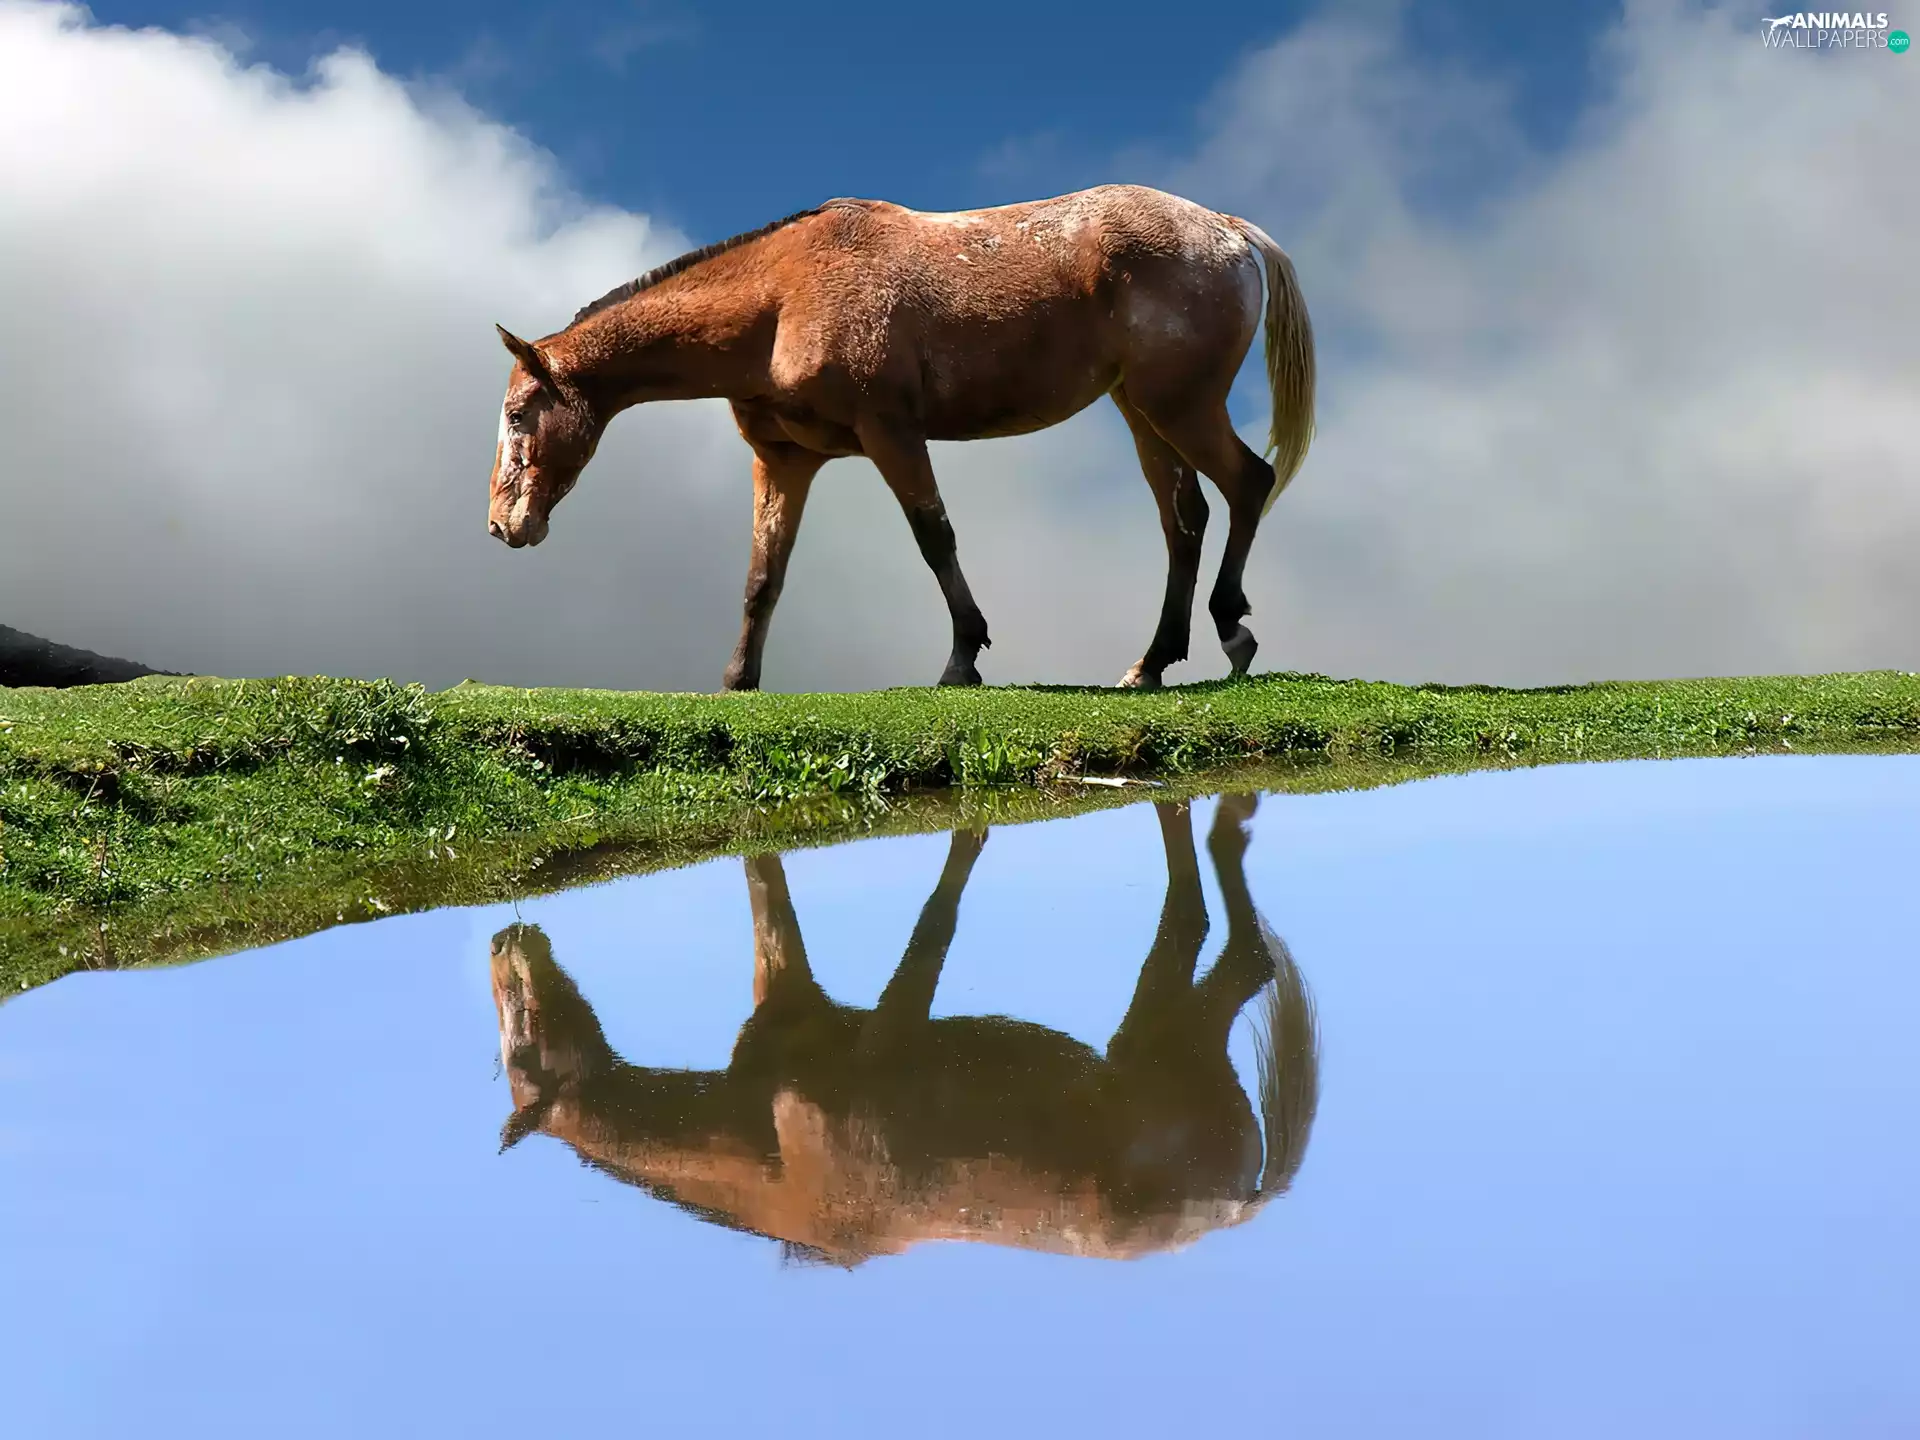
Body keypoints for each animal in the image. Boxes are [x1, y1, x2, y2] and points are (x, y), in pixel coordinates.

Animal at [486, 184, 1316, 691]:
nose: (501, 525)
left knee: (1247, 484)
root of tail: (1227, 231)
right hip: (1144, 414)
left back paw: (1231, 630)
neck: (780, 297)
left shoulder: (891, 433)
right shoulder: (783, 462)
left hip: (1178, 408)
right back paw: (1152, 663)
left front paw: (962, 659)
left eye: (520, 413)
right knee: (1186, 521)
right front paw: (738, 683)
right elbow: (763, 576)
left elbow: (934, 537)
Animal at [487, 793, 1320, 1267]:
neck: (780, 1156)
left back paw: (1231, 821)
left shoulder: (888, 1037)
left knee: (1226, 940)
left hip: (1168, 1036)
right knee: (1215, 936)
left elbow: (935, 920)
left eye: (525, 1041)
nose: (501, 941)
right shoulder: (788, 984)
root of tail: (1236, 1201)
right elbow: (765, 882)